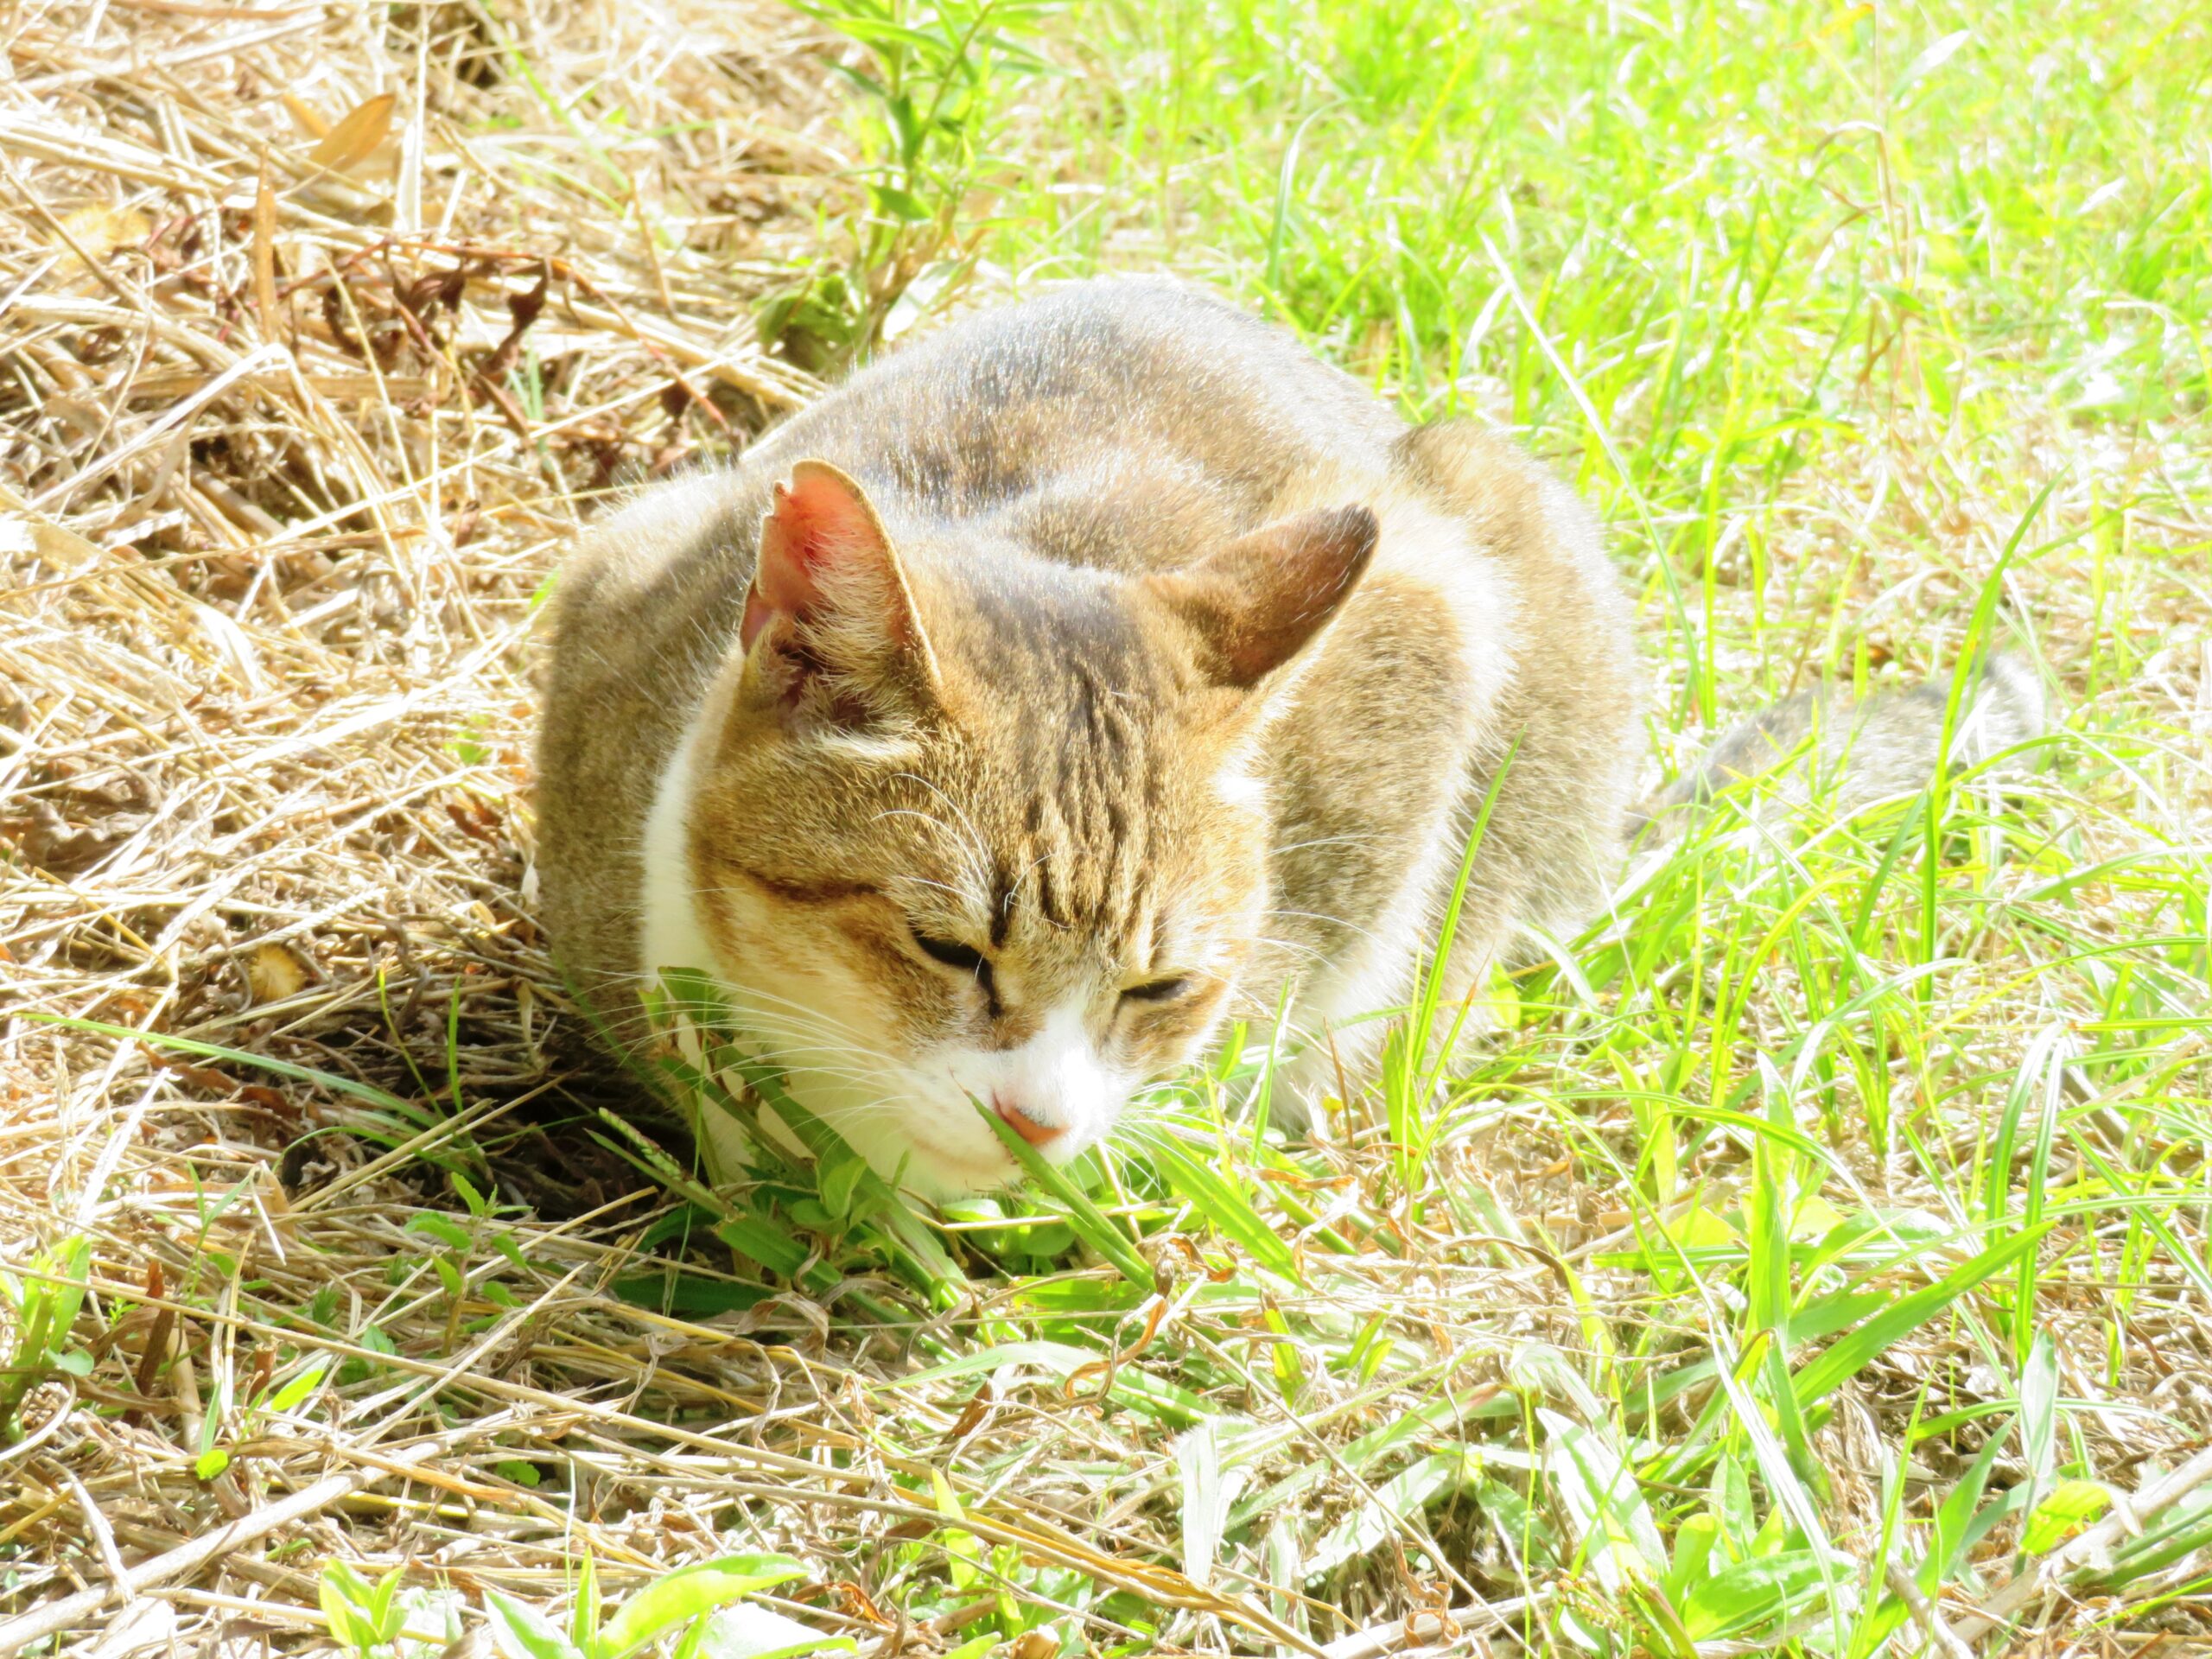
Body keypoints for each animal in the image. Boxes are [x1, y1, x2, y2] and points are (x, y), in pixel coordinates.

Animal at [531, 279, 2035, 1203]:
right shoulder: (621, 574)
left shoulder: (1430, 626)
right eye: (946, 948)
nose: (1043, 1125)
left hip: (1498, 528)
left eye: (1159, 988)